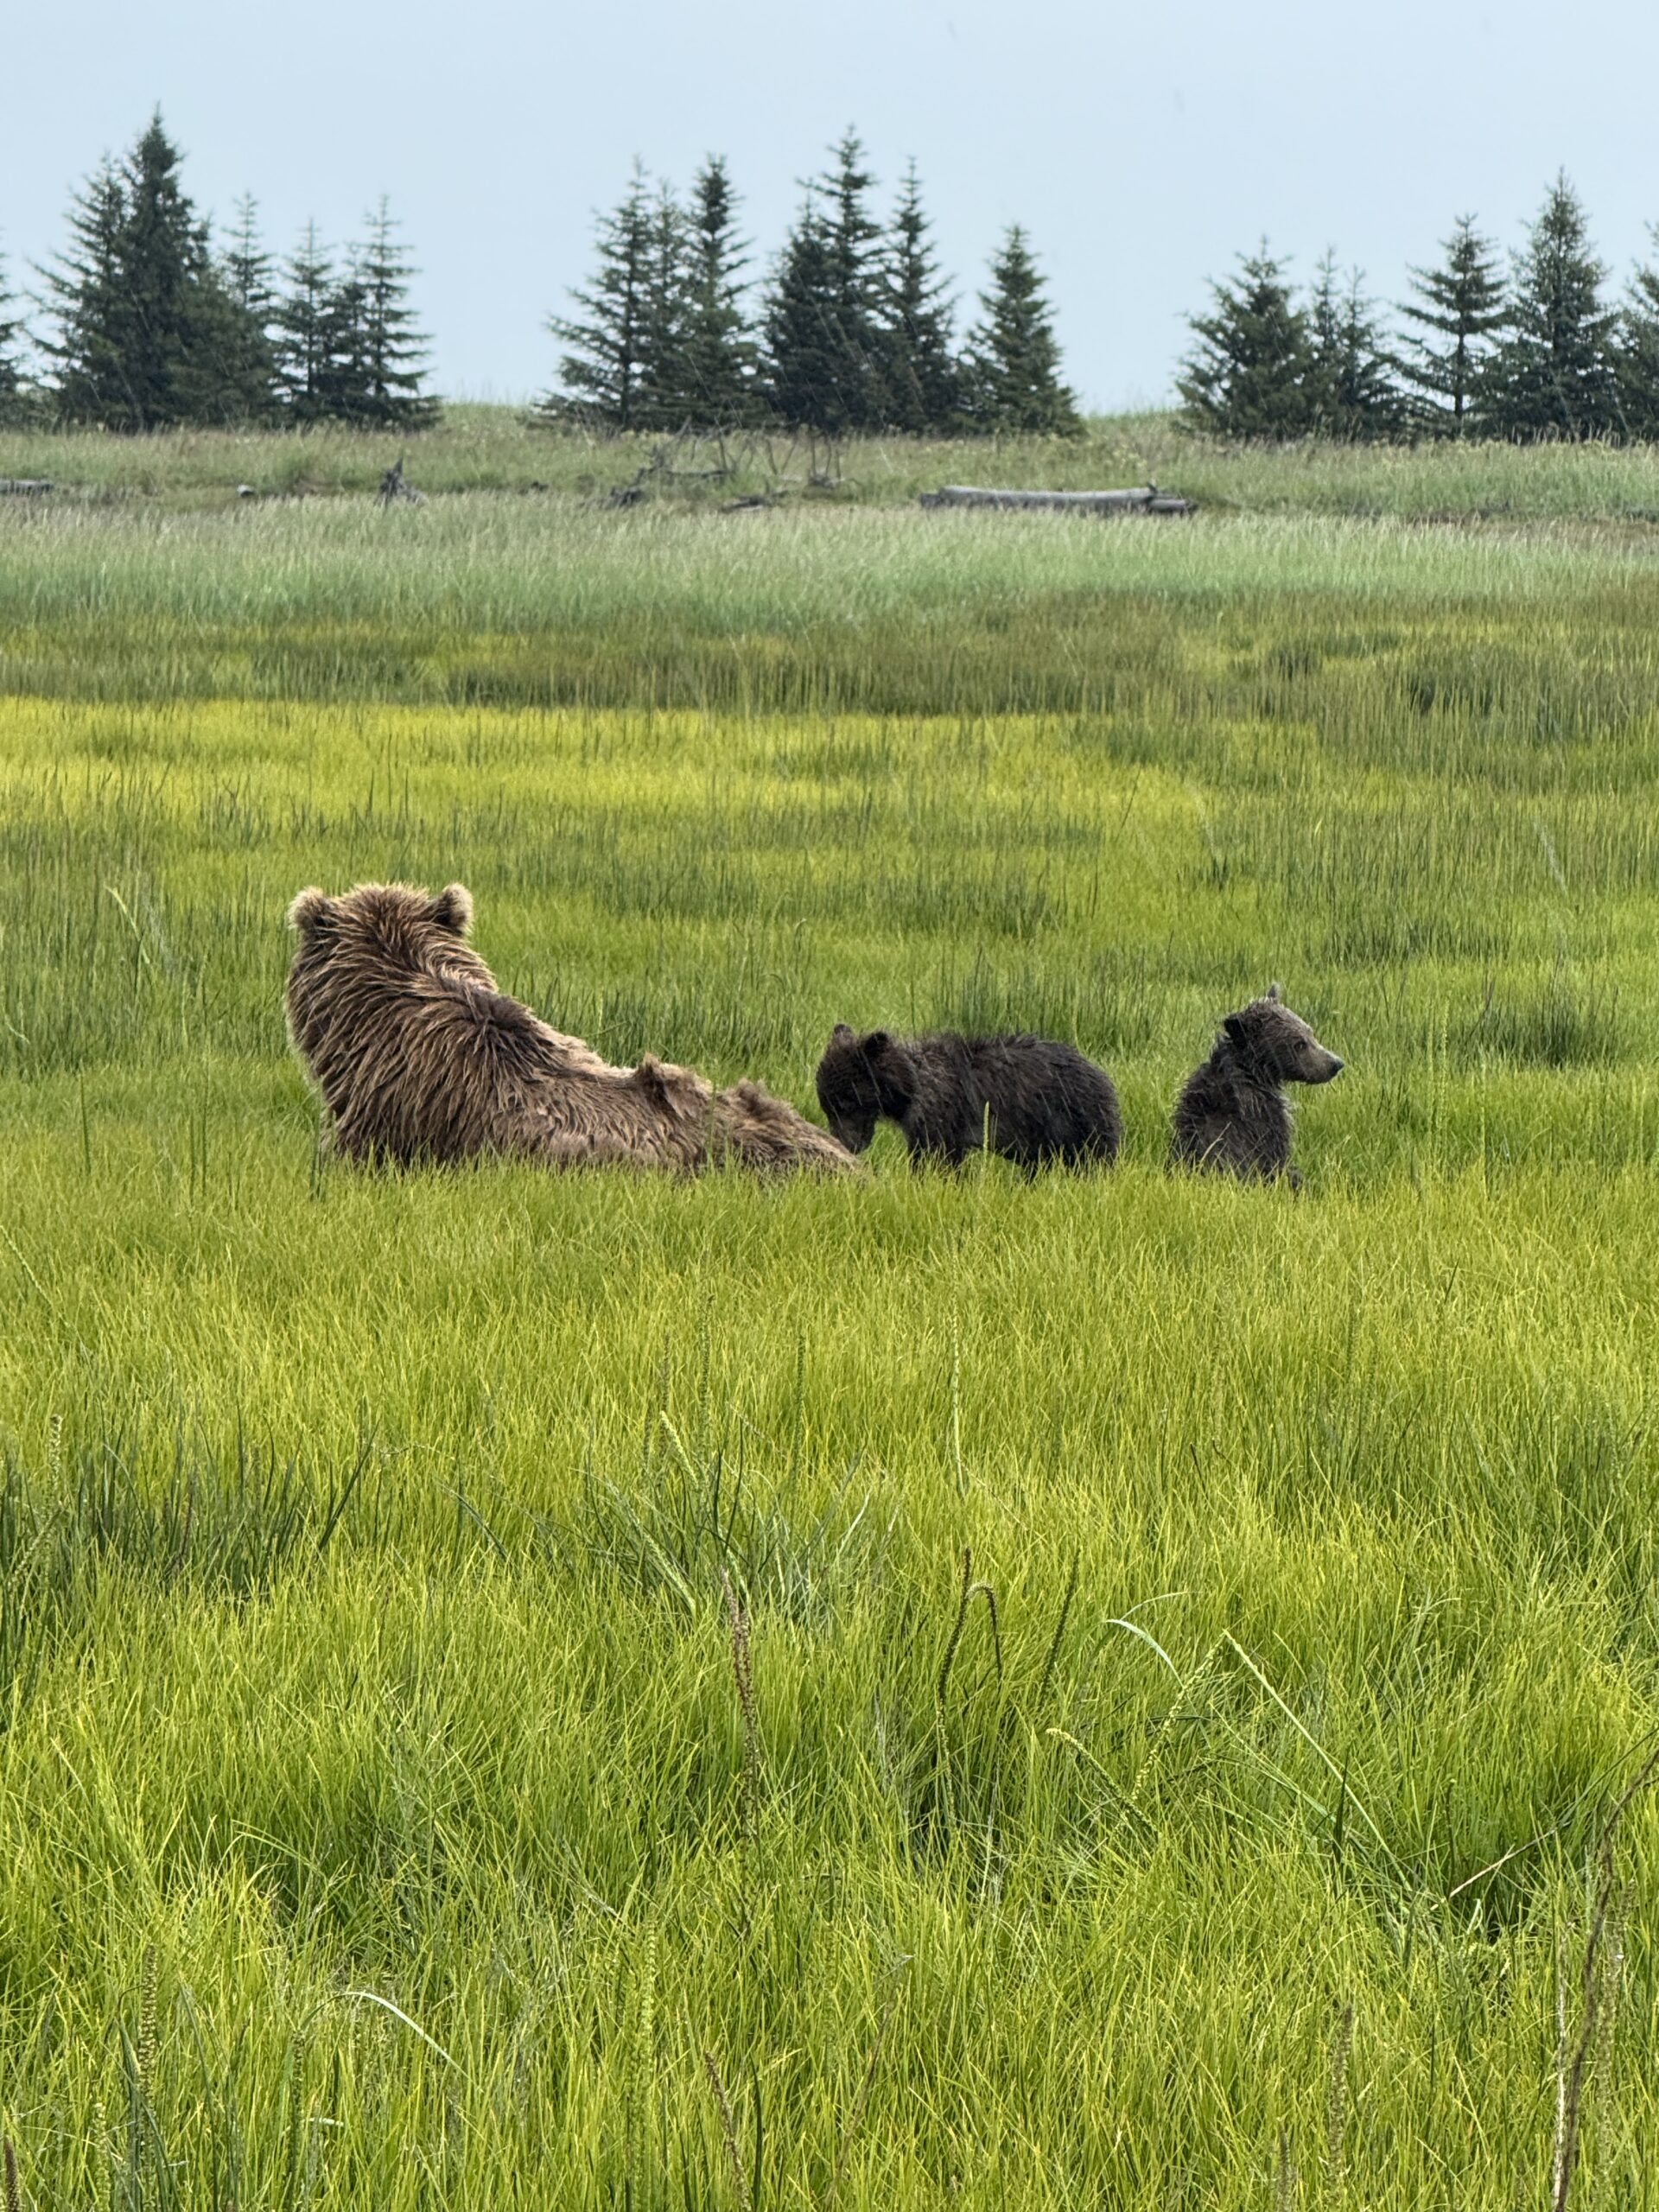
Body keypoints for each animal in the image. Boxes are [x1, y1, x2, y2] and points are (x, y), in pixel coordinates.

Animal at [814, 1024, 1121, 1173]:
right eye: (827, 1106)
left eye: (846, 1103)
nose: (846, 1143)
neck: (910, 1086)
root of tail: (1104, 1077)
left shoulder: (940, 1114)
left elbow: (938, 1158)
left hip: (1076, 1121)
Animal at [1168, 984, 1343, 1188]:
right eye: (1299, 1044)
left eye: (1310, 1032)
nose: (1336, 1063)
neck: (1255, 1073)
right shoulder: (1264, 1118)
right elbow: (1280, 1160)